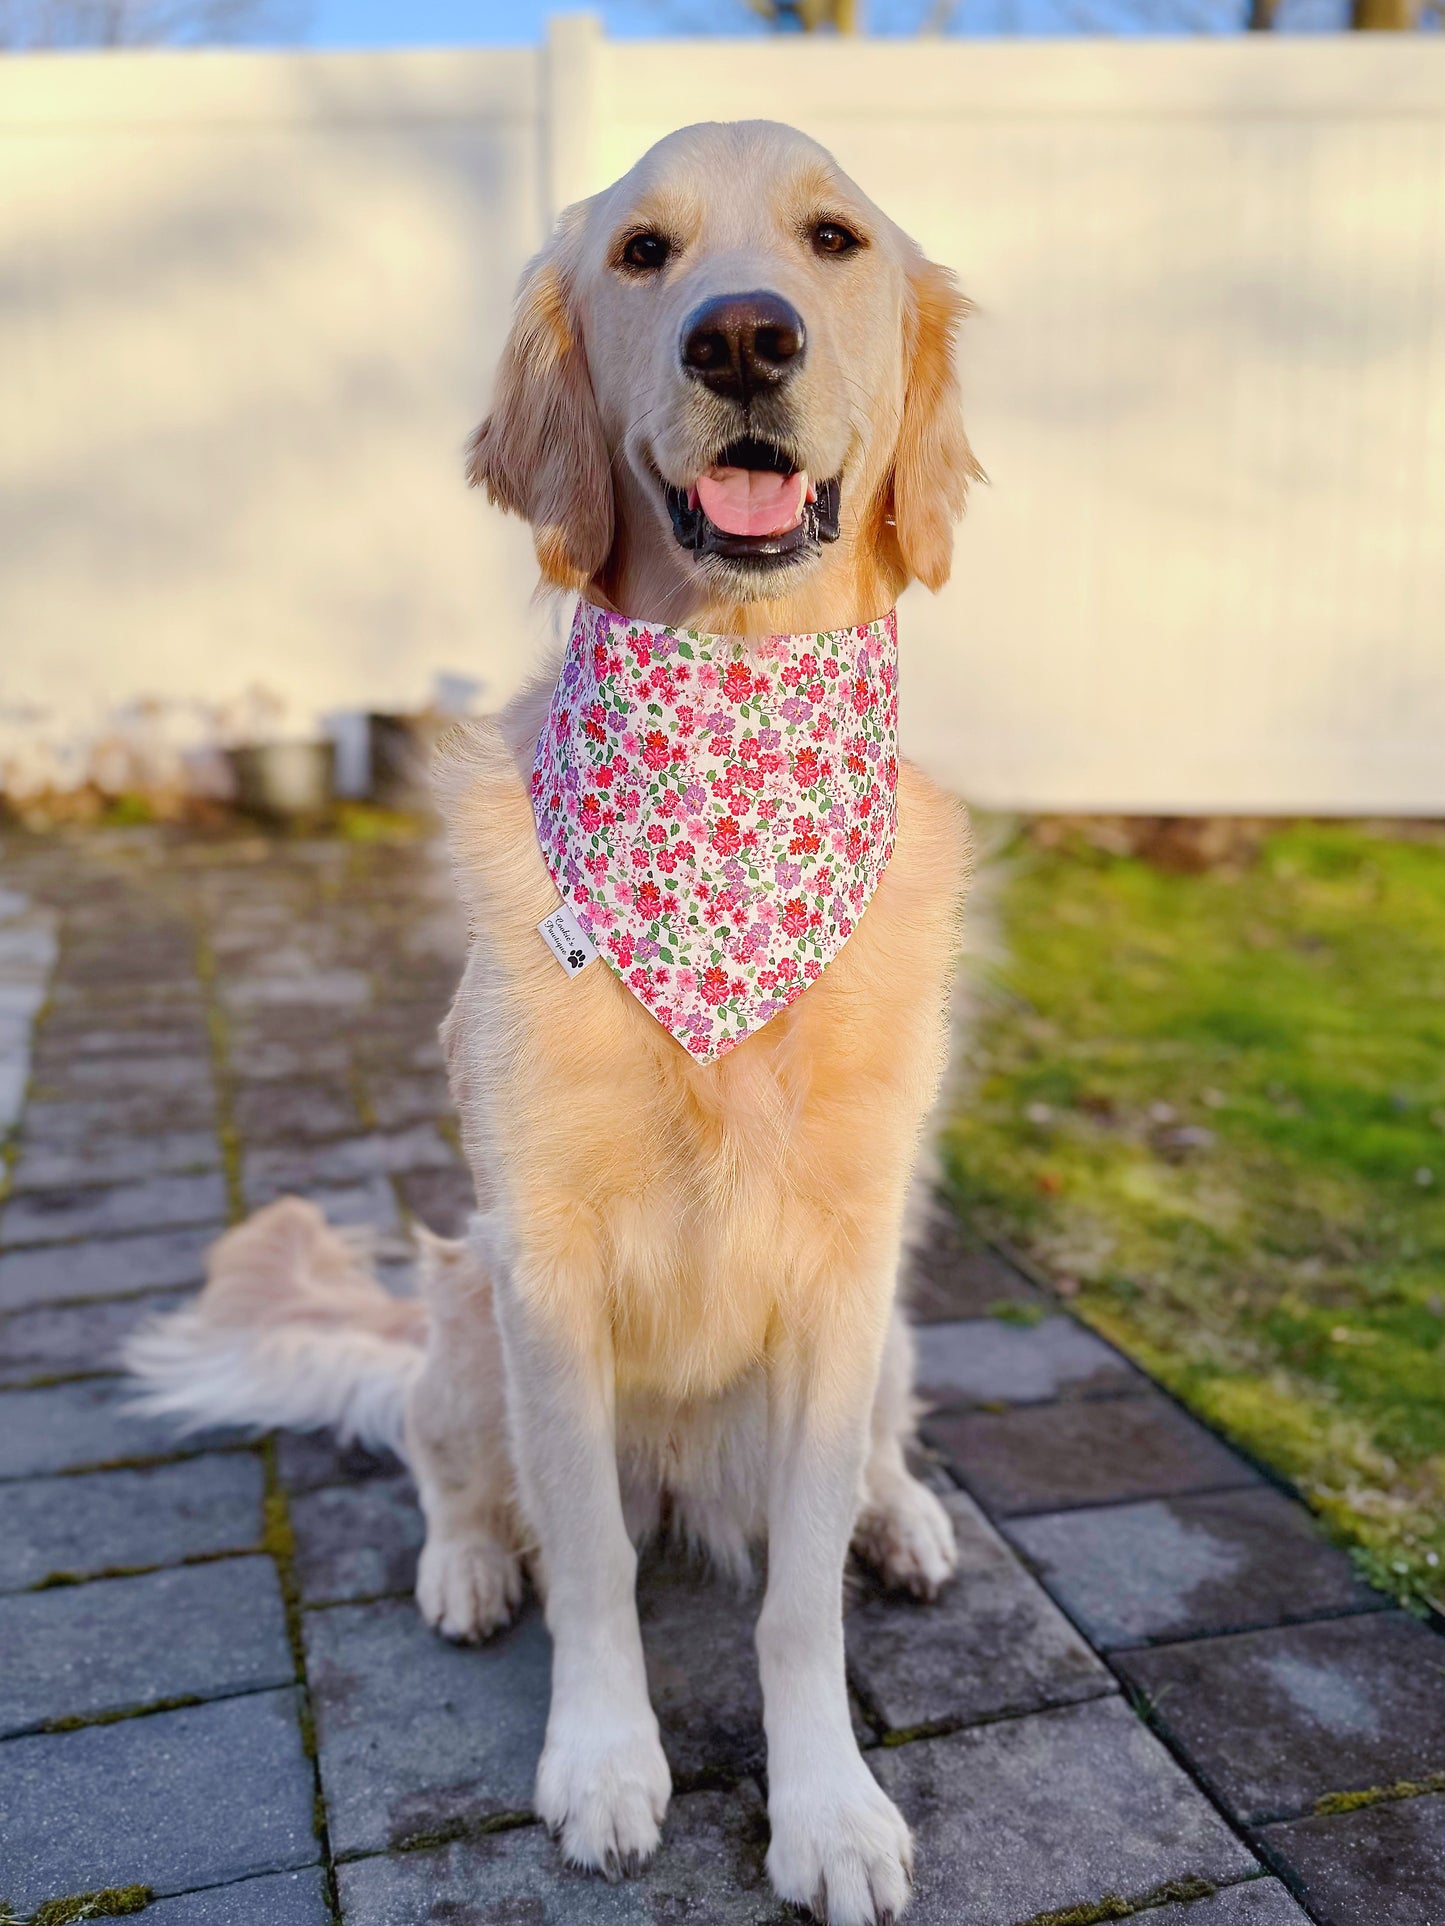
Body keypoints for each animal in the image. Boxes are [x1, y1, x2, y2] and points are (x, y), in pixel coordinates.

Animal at [132, 124, 986, 1926]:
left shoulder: (844, 1268)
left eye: (833, 239)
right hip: (462, 1312)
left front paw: (830, 1808)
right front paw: (602, 1764)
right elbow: (586, 1552)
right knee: (447, 1465)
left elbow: (798, 1596)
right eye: (644, 253)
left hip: (887, 1330)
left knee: (873, 1461)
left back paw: (905, 1519)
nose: (744, 337)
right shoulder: (544, 1265)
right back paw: (464, 1566)